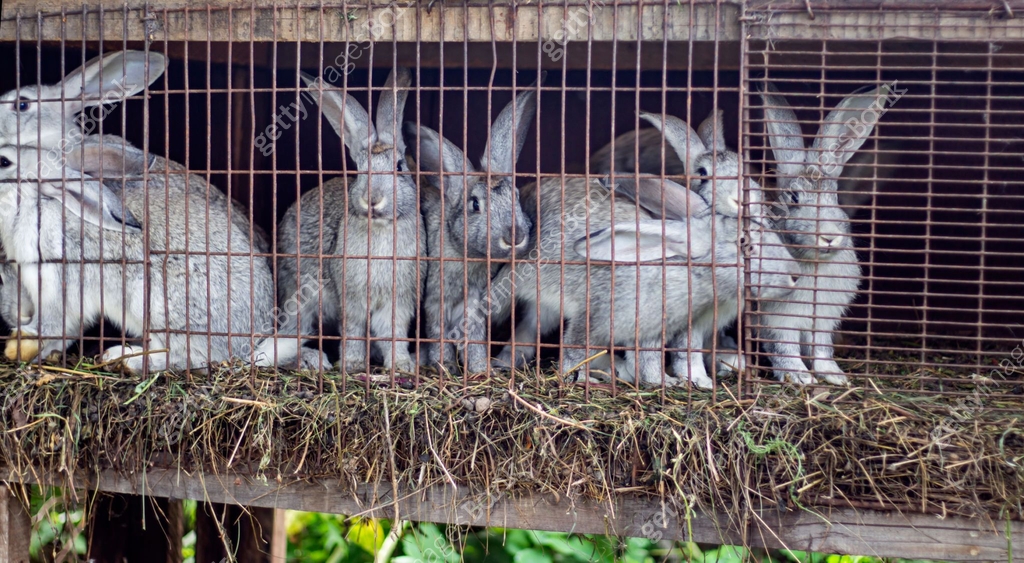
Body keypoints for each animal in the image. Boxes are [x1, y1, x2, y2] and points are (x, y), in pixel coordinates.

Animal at [0, 135, 275, 372]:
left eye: (4, 161)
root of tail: (248, 339)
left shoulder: (57, 281)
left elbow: (52, 323)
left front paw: (19, 343)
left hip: (157, 305)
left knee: (190, 357)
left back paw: (124, 359)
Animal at [254, 68, 423, 373]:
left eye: (400, 167)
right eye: (360, 171)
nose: (372, 199)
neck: (381, 227)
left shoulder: (399, 301)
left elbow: (393, 333)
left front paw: (402, 364)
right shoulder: (352, 300)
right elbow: (354, 329)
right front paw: (353, 364)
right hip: (298, 296)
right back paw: (311, 359)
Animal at [404, 82, 538, 373]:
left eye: (516, 196)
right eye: (475, 204)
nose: (515, 235)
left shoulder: (474, 301)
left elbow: (474, 335)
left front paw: (479, 369)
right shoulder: (435, 300)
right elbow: (438, 333)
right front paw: (445, 367)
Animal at [755, 83, 894, 385]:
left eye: (835, 198)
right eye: (794, 198)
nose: (829, 237)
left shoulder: (823, 321)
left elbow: (821, 349)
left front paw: (835, 376)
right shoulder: (777, 319)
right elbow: (784, 348)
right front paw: (799, 377)